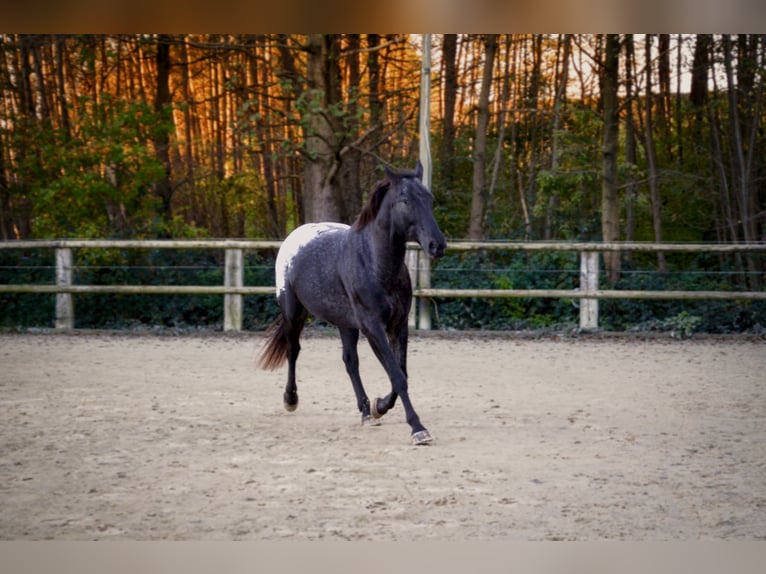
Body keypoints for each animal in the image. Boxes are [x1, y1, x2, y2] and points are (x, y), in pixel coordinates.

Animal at [260, 162, 448, 446]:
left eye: (430, 199)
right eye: (405, 200)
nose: (437, 245)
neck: (374, 263)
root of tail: (295, 235)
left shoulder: (398, 325)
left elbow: (400, 373)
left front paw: (379, 407)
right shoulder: (373, 327)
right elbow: (397, 375)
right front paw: (418, 428)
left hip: (345, 323)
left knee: (350, 361)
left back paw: (365, 412)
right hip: (294, 313)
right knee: (293, 350)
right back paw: (290, 399)